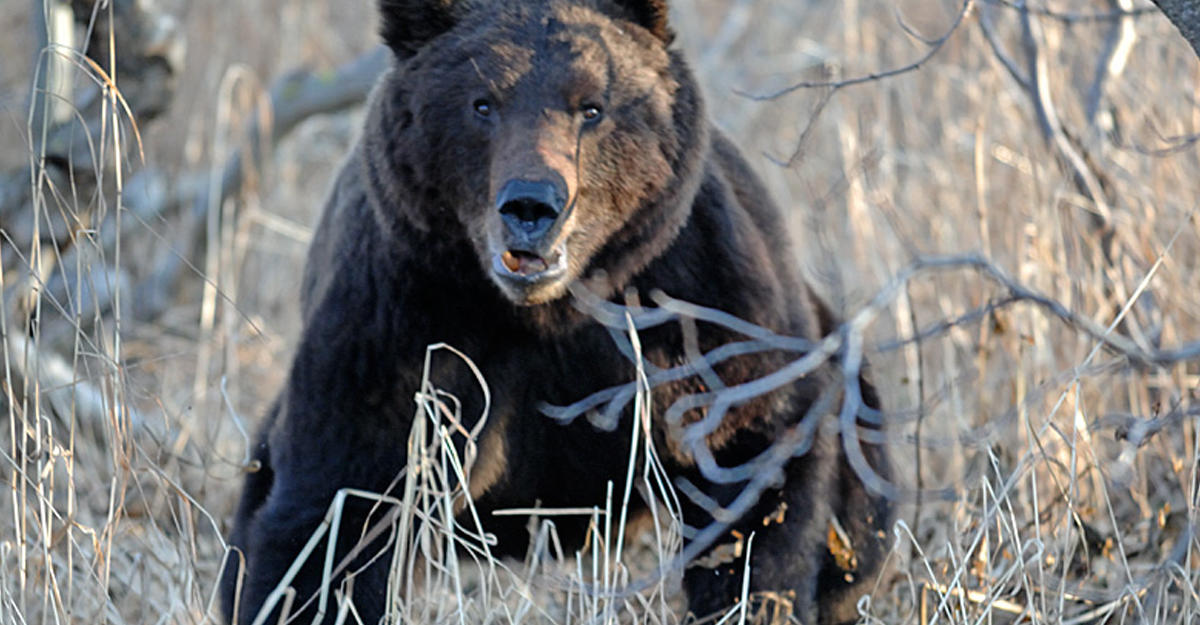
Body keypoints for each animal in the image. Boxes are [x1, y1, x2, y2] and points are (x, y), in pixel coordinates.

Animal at [220, 1, 888, 623]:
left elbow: (754, 469)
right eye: (482, 103)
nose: (532, 204)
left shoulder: (700, 306)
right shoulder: (401, 325)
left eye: (591, 106)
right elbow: (334, 513)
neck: (550, 313)